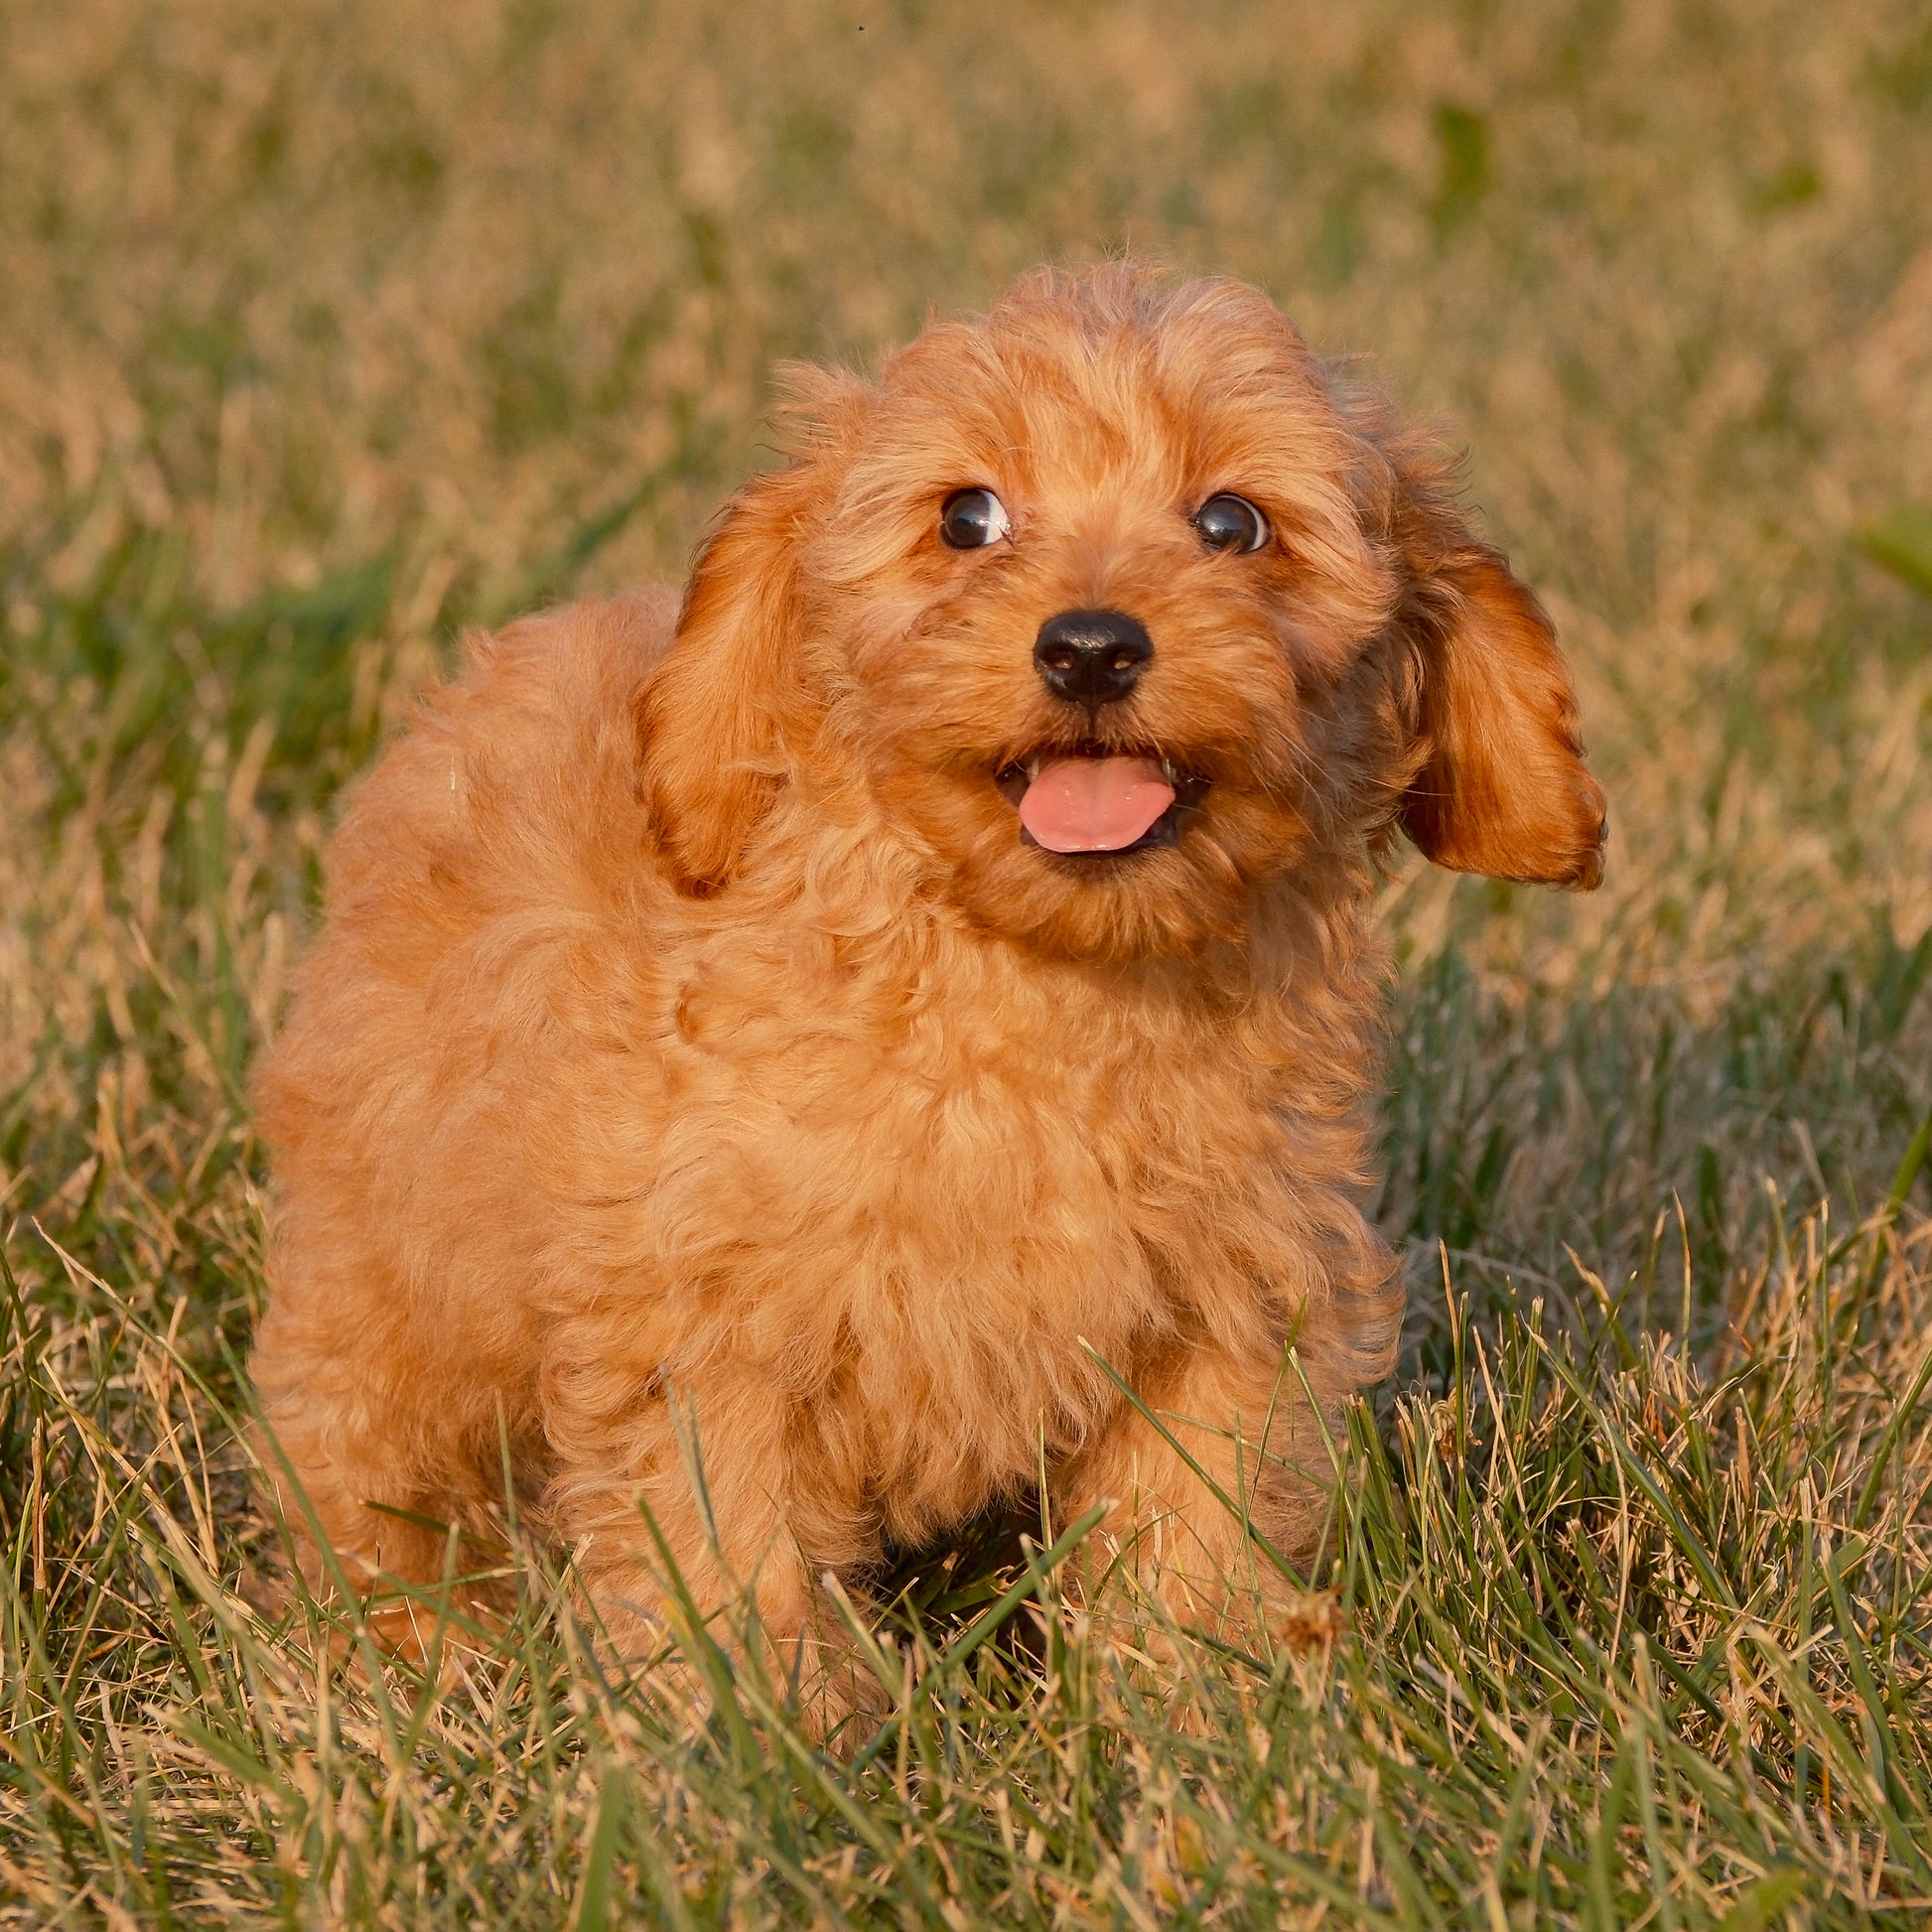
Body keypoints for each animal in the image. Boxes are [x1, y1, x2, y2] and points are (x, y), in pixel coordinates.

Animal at [249, 260, 1607, 1708]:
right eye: (968, 517)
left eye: (1232, 522)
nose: (1087, 647)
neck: (1032, 981)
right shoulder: (701, 1305)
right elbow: (725, 1533)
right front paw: (754, 1720)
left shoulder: (1227, 1291)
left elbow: (1193, 1517)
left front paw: (1198, 1697)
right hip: (383, 1246)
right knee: (359, 1452)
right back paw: (407, 1637)